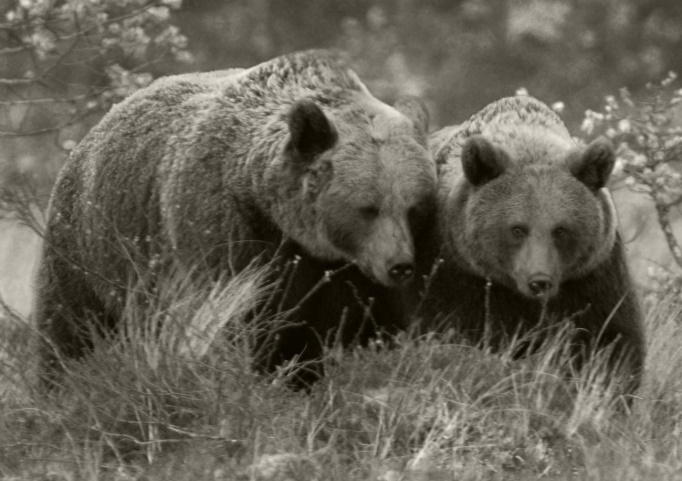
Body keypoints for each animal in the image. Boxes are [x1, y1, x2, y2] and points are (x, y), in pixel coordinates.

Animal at [35, 49, 437, 389]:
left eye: (414, 207)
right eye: (368, 207)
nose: (400, 265)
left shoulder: (351, 274)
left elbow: (376, 325)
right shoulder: (227, 237)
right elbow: (249, 327)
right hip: (89, 251)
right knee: (70, 330)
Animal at [409, 95, 646, 394]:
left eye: (561, 230)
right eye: (518, 228)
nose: (539, 281)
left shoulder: (594, 274)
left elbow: (609, 338)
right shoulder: (451, 266)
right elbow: (446, 328)